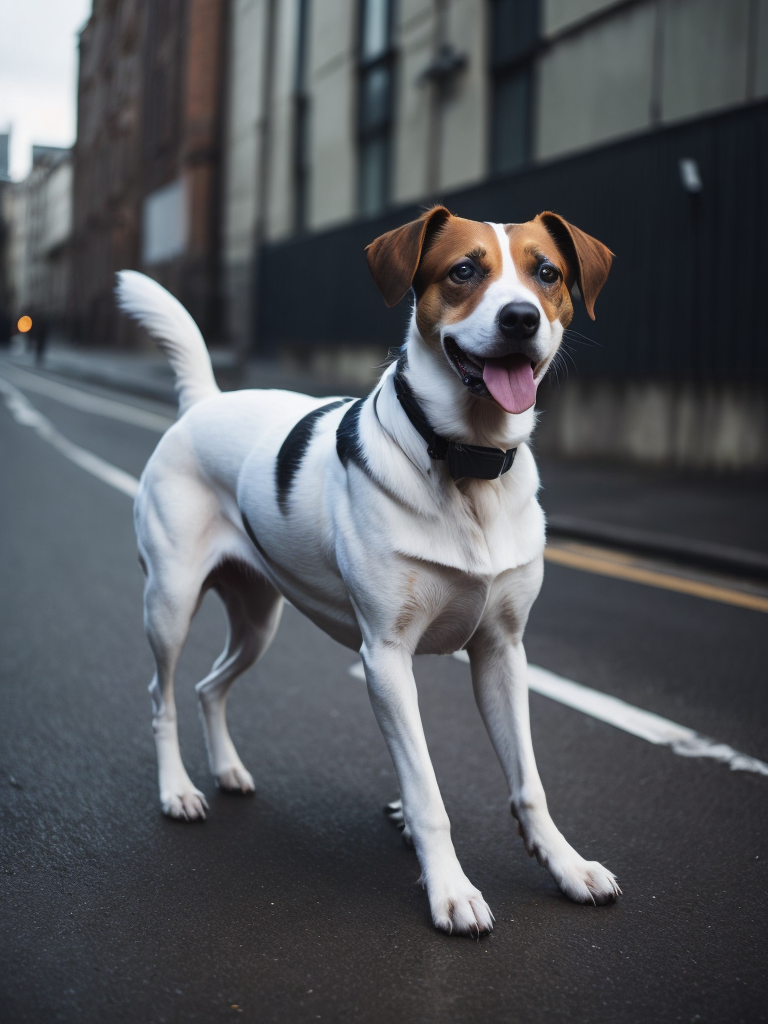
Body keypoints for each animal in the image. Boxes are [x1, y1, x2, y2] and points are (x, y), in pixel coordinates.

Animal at [115, 203, 618, 933]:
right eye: (463, 271)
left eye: (546, 273)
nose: (521, 318)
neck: (466, 460)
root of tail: (206, 402)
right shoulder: (384, 657)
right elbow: (428, 793)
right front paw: (449, 889)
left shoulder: (503, 652)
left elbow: (528, 782)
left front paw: (565, 864)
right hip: (170, 602)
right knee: (163, 693)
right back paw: (177, 789)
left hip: (258, 619)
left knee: (210, 687)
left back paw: (228, 769)